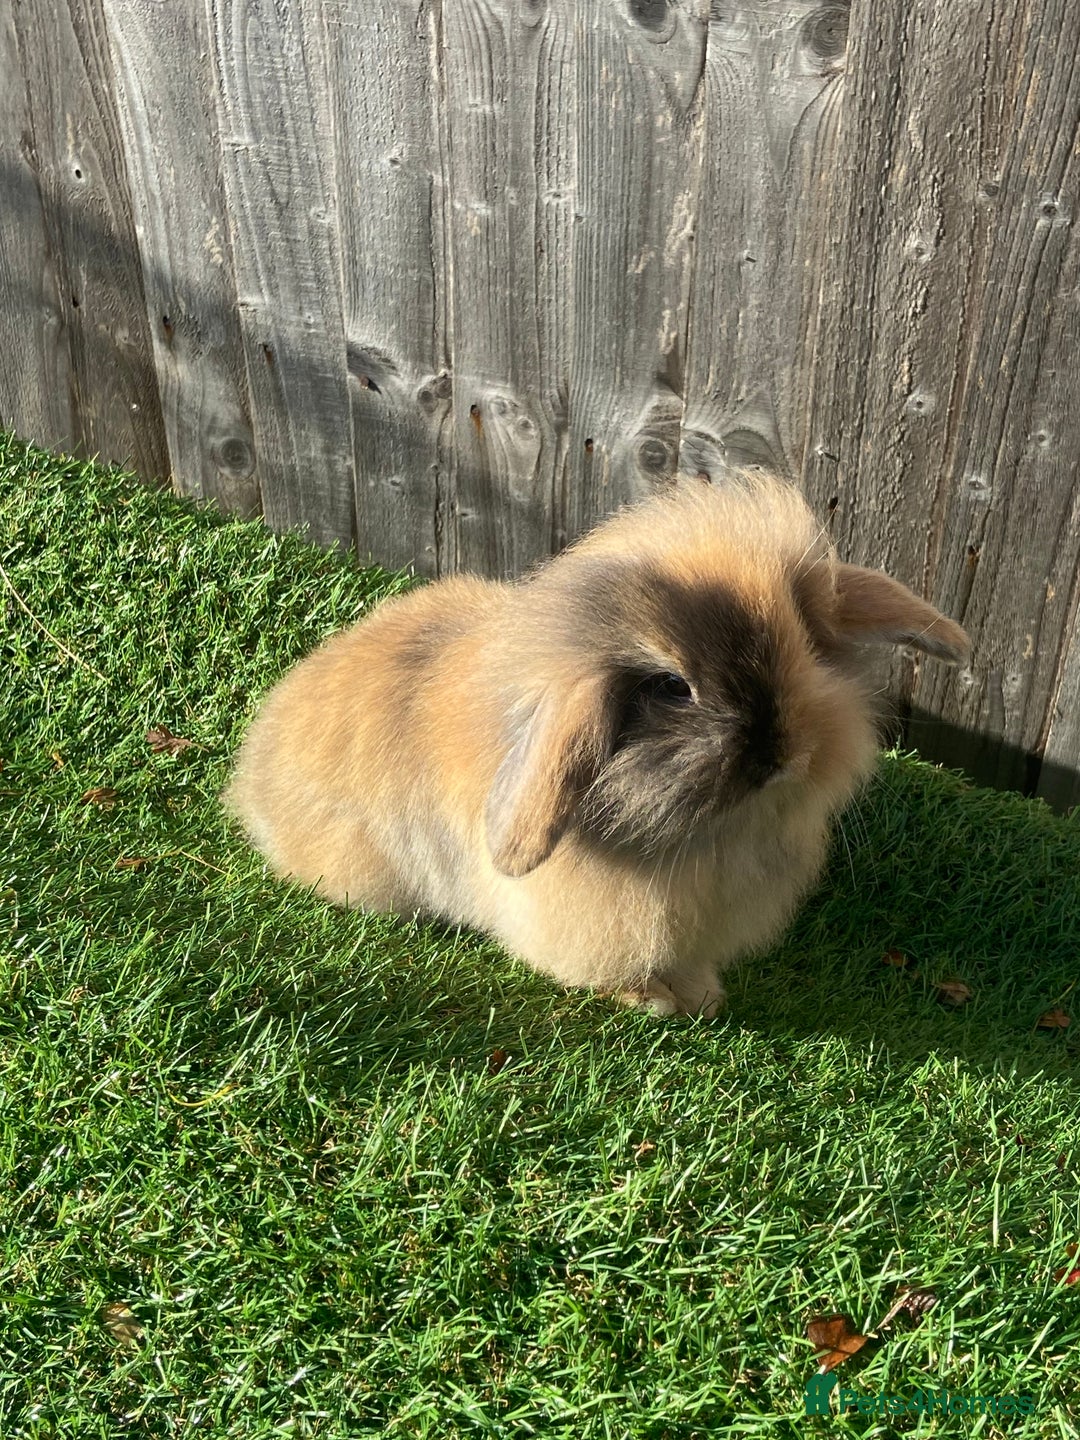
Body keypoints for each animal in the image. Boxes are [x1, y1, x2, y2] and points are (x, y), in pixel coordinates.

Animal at [223, 471, 969, 1017]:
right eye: (672, 687)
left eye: (808, 646)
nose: (788, 757)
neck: (708, 834)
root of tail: (253, 774)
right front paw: (654, 1003)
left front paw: (702, 995)